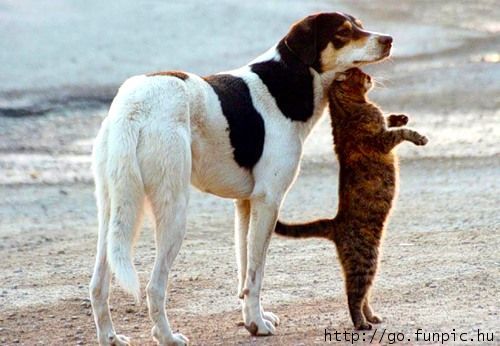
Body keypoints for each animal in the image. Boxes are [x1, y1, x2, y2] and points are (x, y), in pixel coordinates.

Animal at [91, 11, 394, 346]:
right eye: (343, 32)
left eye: (359, 25)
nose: (389, 40)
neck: (289, 81)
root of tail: (133, 107)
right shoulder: (268, 202)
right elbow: (256, 273)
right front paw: (257, 324)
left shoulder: (245, 204)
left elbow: (244, 269)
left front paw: (252, 319)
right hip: (173, 214)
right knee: (154, 287)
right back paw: (168, 337)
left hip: (112, 211)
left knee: (98, 285)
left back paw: (110, 337)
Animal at [276, 67, 428, 330]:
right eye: (361, 73)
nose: (371, 77)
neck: (349, 108)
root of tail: (336, 223)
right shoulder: (380, 141)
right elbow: (399, 133)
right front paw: (417, 136)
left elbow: (389, 120)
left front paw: (399, 117)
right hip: (365, 261)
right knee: (353, 294)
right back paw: (361, 323)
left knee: (364, 294)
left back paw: (372, 317)